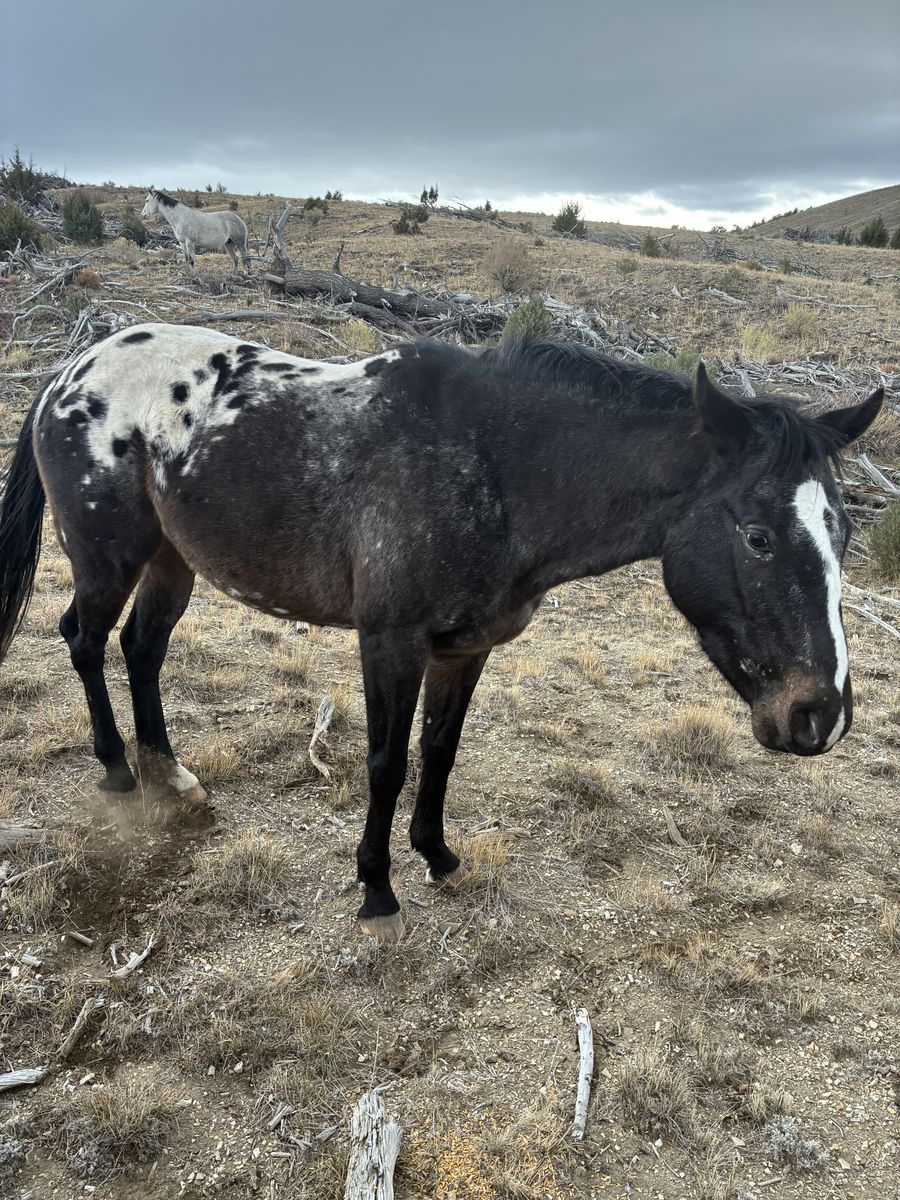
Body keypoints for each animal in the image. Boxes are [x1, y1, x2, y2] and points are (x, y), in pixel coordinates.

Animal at [0, 325, 883, 939]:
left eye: (841, 534)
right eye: (758, 536)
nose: (821, 716)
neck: (495, 463)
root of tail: (69, 373)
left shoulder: (465, 648)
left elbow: (441, 752)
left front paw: (437, 856)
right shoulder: (388, 640)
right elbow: (387, 763)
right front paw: (377, 889)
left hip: (170, 560)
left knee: (142, 649)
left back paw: (169, 771)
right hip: (107, 559)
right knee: (84, 640)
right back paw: (118, 770)